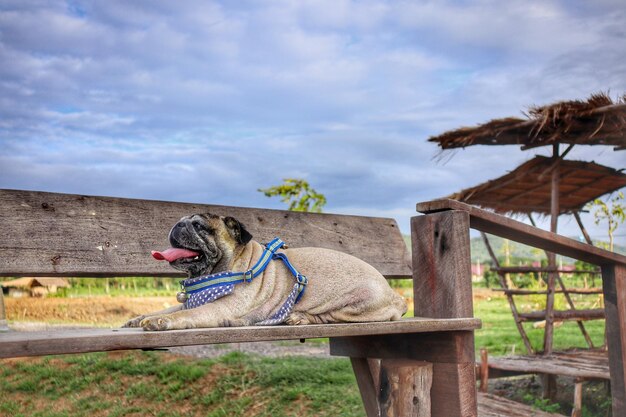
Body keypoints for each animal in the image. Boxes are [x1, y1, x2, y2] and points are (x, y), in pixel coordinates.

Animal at [123, 213, 404, 330]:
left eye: (200, 227)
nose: (178, 224)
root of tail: (395, 296)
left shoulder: (220, 308)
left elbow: (189, 314)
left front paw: (161, 322)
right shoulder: (189, 301)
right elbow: (169, 308)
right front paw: (140, 318)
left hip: (356, 302)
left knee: (329, 317)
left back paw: (299, 317)